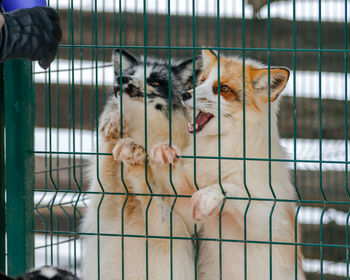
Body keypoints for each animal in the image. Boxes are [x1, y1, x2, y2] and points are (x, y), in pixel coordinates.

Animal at [81, 49, 201, 280]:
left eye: (155, 81)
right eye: (129, 73)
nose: (121, 79)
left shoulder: (176, 228)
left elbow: (151, 193)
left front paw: (143, 164)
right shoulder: (105, 202)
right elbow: (108, 158)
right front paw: (114, 123)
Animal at [152, 50, 304, 280]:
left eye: (223, 89)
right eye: (202, 81)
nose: (185, 95)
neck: (221, 153)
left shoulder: (270, 221)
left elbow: (231, 189)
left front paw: (210, 196)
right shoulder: (193, 217)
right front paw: (164, 153)